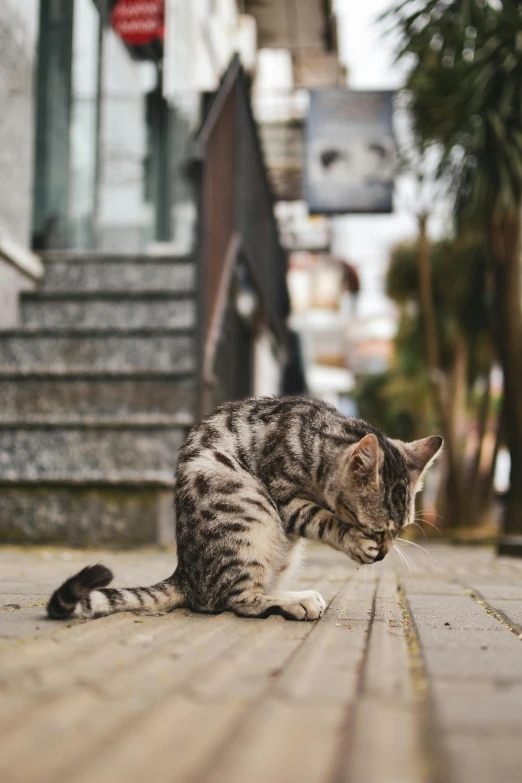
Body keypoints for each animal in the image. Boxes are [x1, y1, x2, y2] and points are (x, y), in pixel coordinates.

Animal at [47, 398, 438, 624]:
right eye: (376, 529)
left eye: (400, 530)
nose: (384, 553)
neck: (317, 439)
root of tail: (186, 574)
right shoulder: (284, 498)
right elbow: (323, 519)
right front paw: (354, 540)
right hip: (253, 511)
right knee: (231, 599)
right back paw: (294, 605)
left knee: (258, 585)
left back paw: (296, 596)